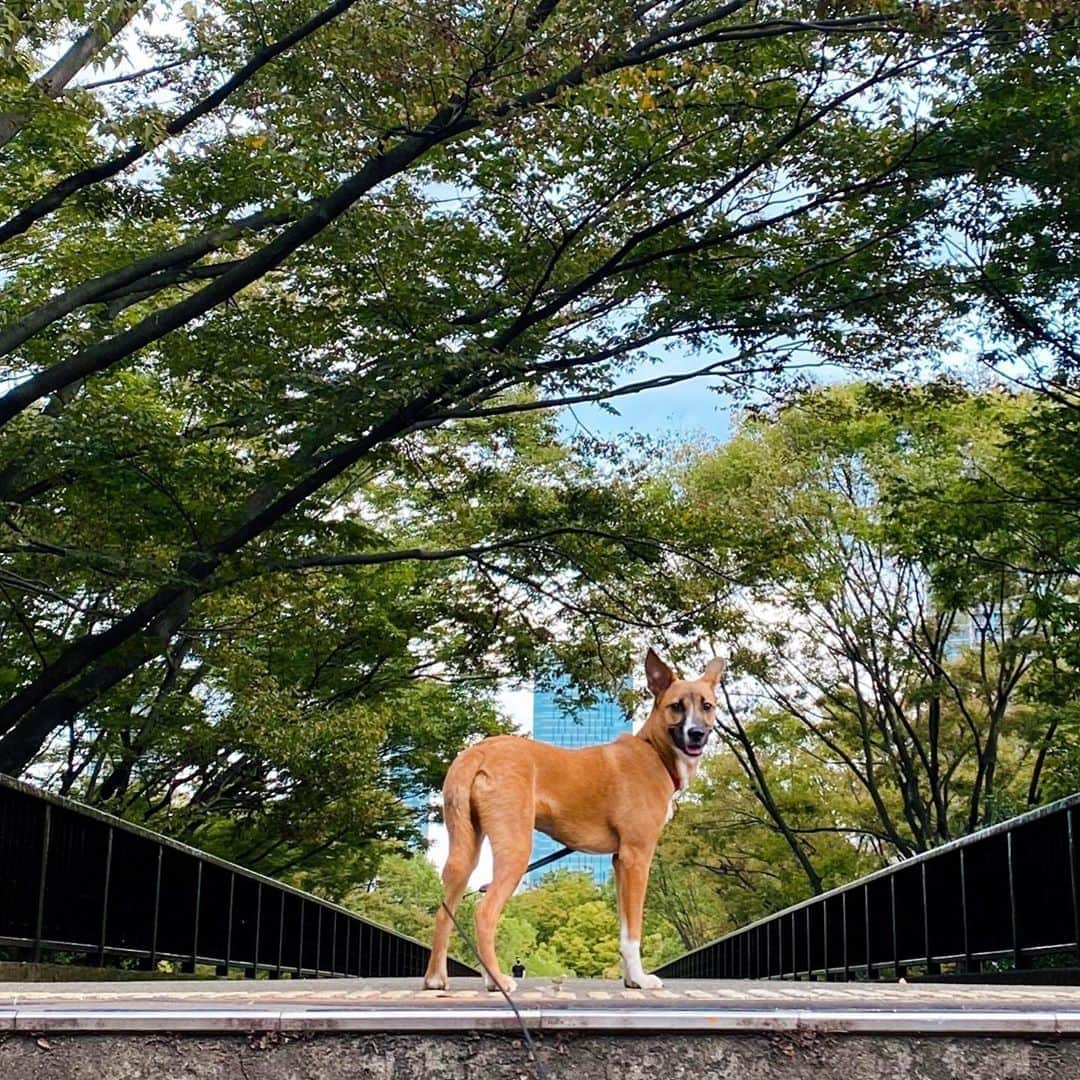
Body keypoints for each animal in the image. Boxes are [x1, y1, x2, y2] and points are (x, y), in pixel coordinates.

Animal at [423, 643, 725, 989]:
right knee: (484, 913)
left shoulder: (620, 862)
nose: (696, 733)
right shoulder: (637, 857)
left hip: (465, 851)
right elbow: (634, 930)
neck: (655, 752)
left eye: (707, 706)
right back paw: (498, 980)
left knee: (445, 911)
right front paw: (641, 979)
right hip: (515, 850)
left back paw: (436, 978)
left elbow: (624, 928)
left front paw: (630, 979)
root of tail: (478, 752)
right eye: (676, 706)